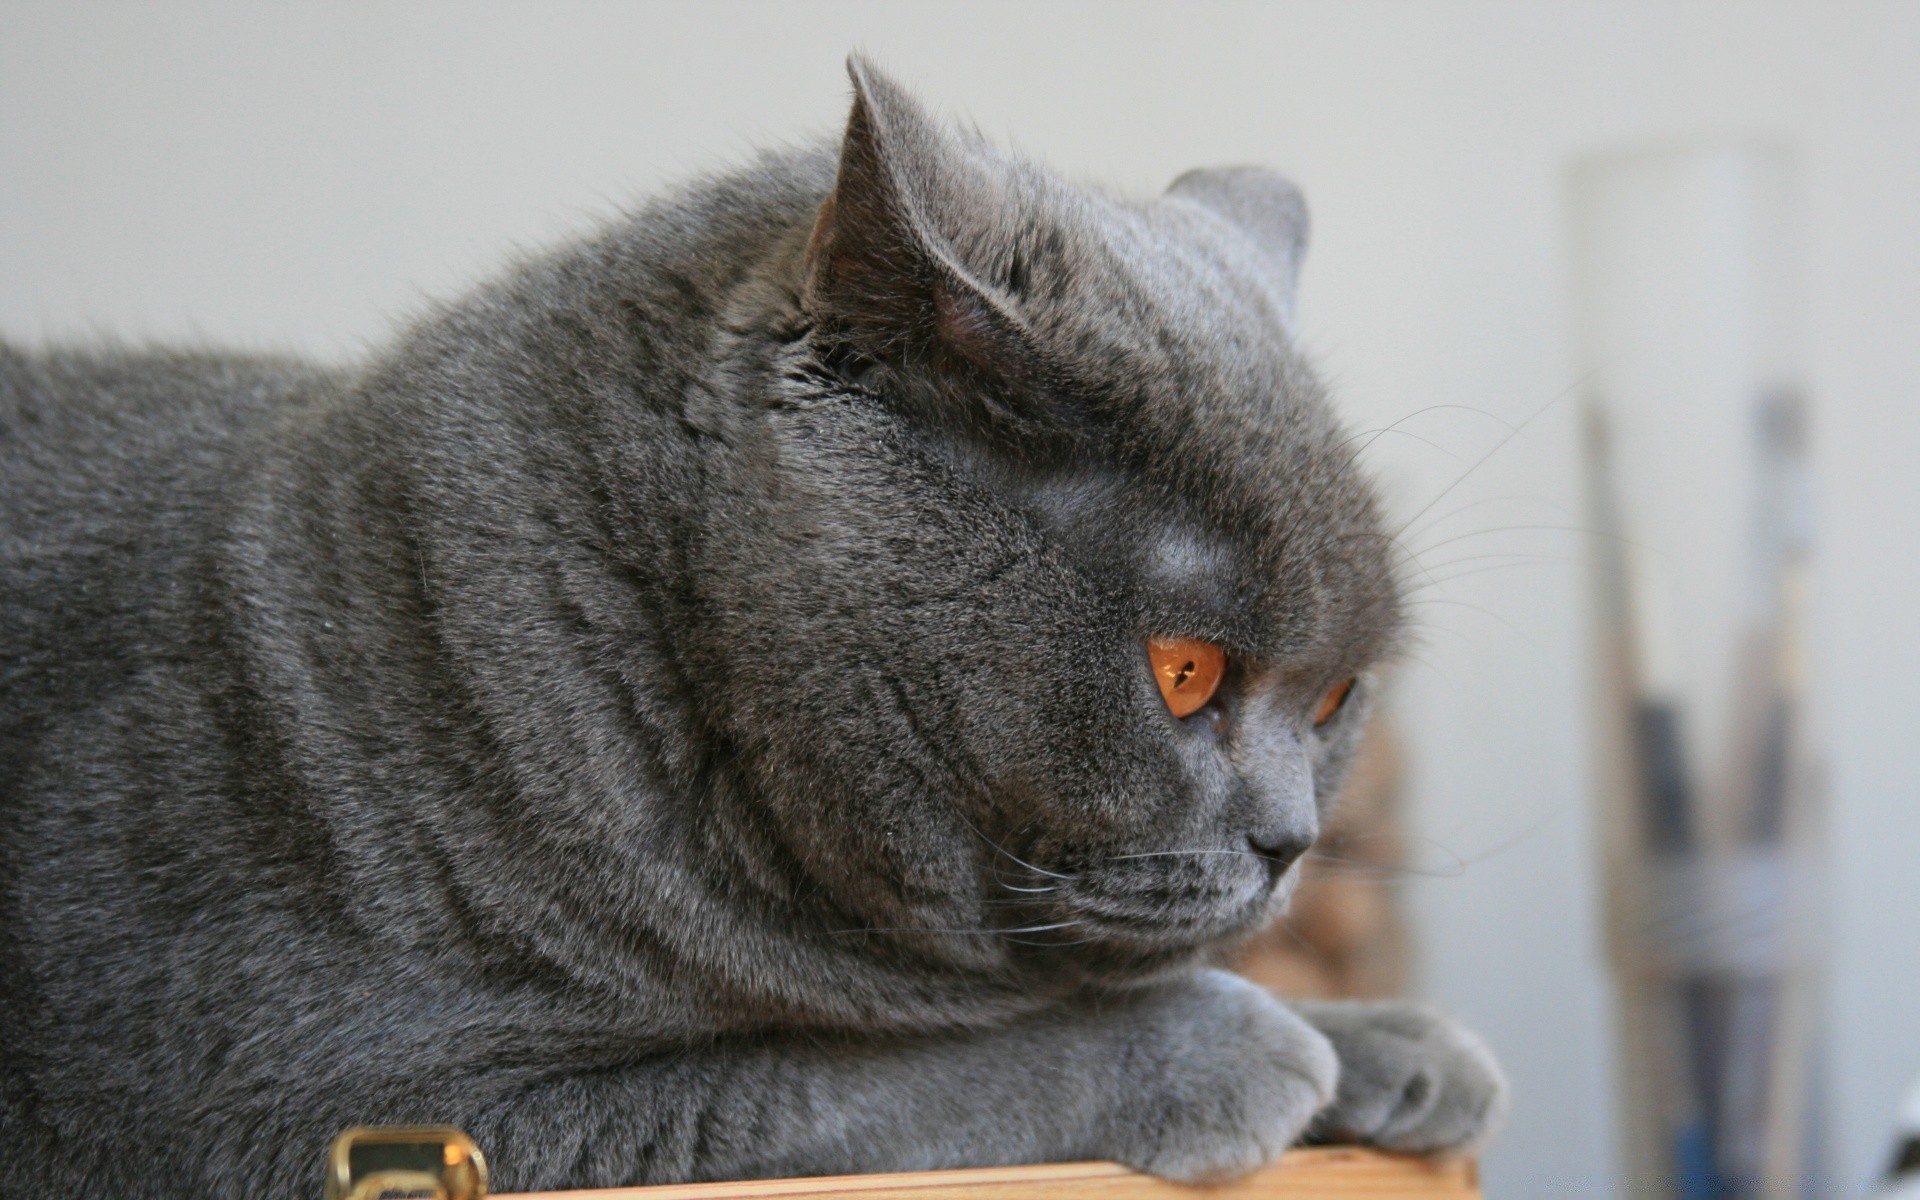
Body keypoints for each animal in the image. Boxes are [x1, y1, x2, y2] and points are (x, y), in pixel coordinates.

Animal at [0, 60, 1497, 1190]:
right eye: (1185, 672)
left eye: (1333, 701)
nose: (1290, 841)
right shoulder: (331, 1100)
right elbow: (836, 1073)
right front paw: (1235, 1049)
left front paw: (1389, 1044)